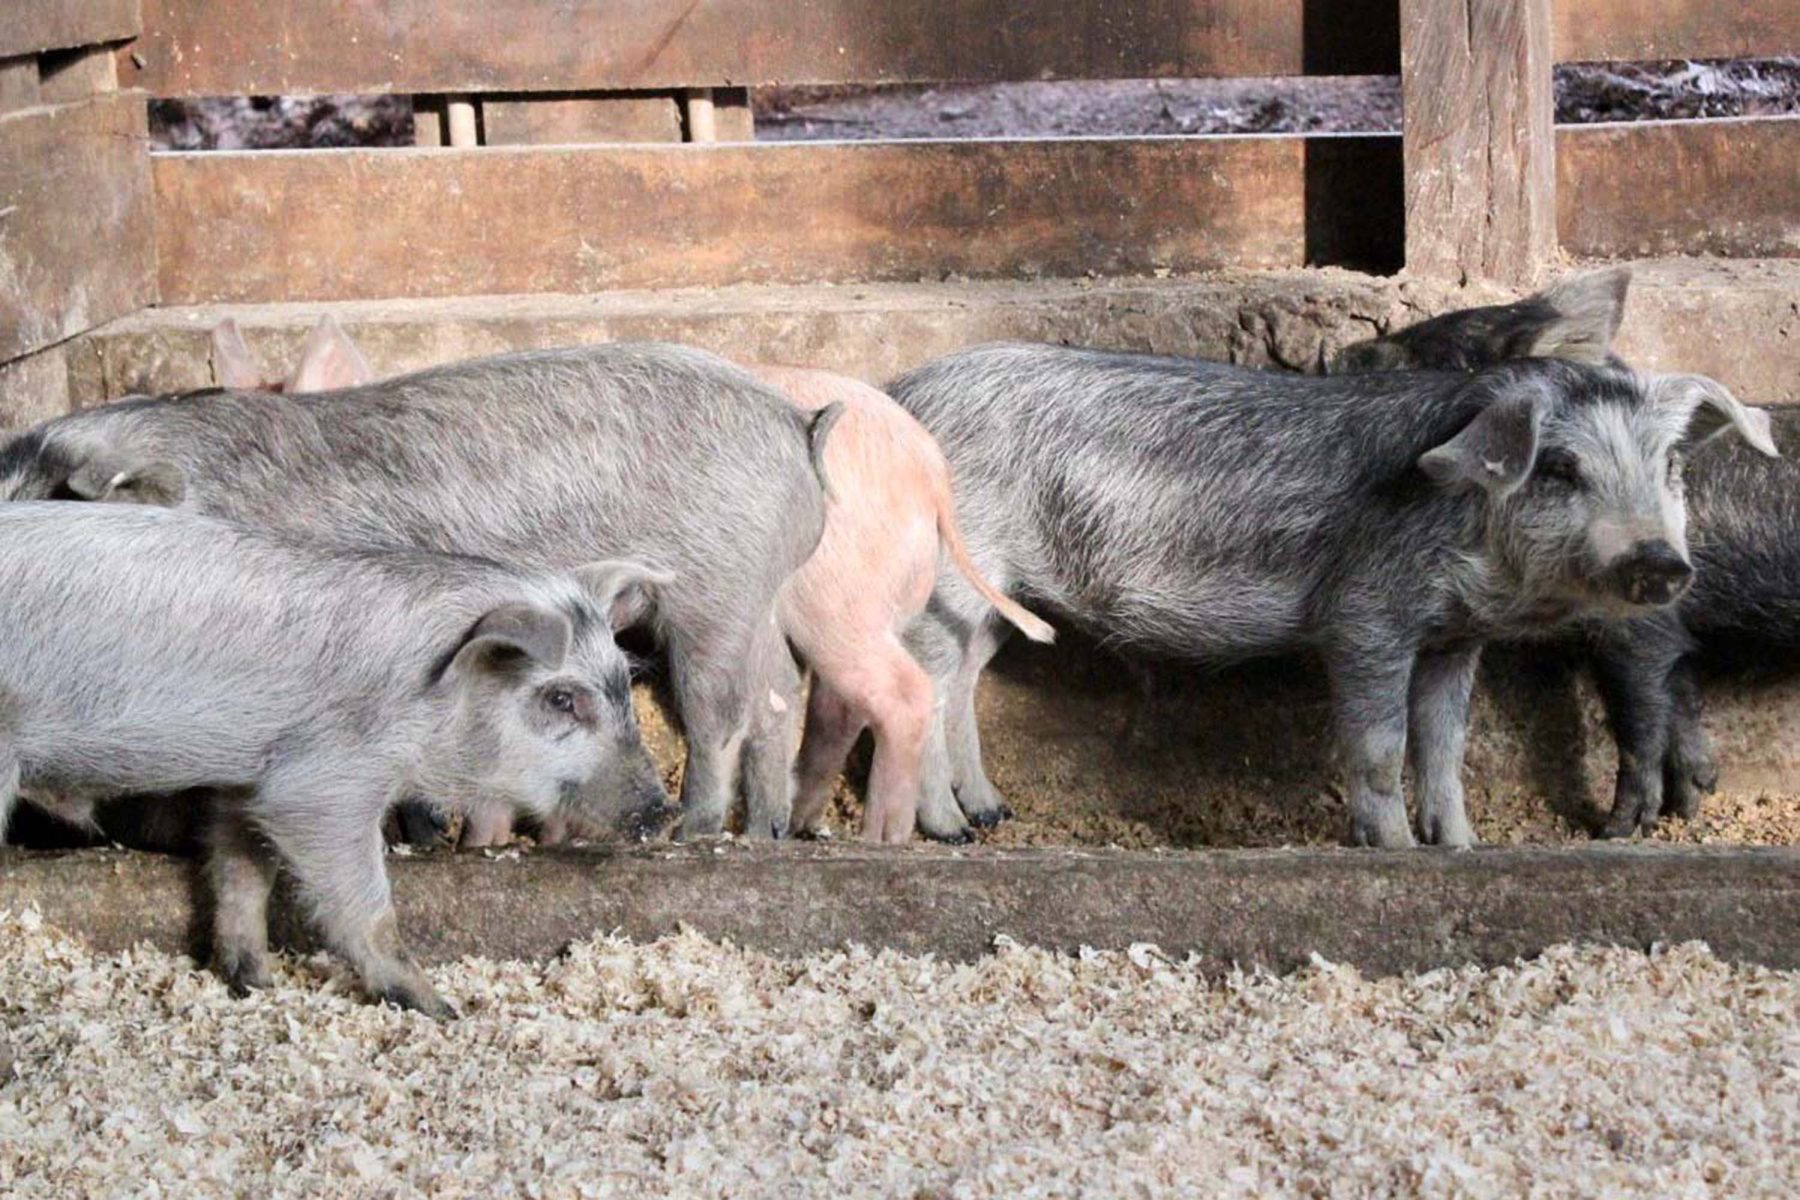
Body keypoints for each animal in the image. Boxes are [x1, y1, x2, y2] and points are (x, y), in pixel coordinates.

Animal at [0, 343, 836, 840]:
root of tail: (797, 424)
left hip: (715, 597)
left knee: (721, 714)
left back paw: (695, 833)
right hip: (760, 598)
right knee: (779, 697)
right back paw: (768, 832)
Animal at [0, 502, 666, 1016]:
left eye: (624, 685)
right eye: (562, 699)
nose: (659, 814)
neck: (428, 694)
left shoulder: (251, 778)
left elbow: (243, 872)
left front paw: (254, 983)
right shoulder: (322, 781)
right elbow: (362, 902)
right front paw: (442, 1009)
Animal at [889, 345, 1776, 847]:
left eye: (1669, 465)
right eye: (1559, 468)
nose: (1662, 562)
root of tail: (899, 393)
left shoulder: (1454, 638)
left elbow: (1445, 745)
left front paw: (1462, 846)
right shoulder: (1365, 618)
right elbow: (1381, 745)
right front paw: (1393, 848)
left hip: (994, 599)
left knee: (962, 685)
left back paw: (993, 815)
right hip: (949, 581)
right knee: (925, 688)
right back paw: (948, 835)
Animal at [1332, 268, 1794, 835]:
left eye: (1441, 348)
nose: (1338, 355)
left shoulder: (1640, 623)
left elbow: (1640, 715)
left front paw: (1617, 830)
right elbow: (1680, 699)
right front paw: (1689, 800)